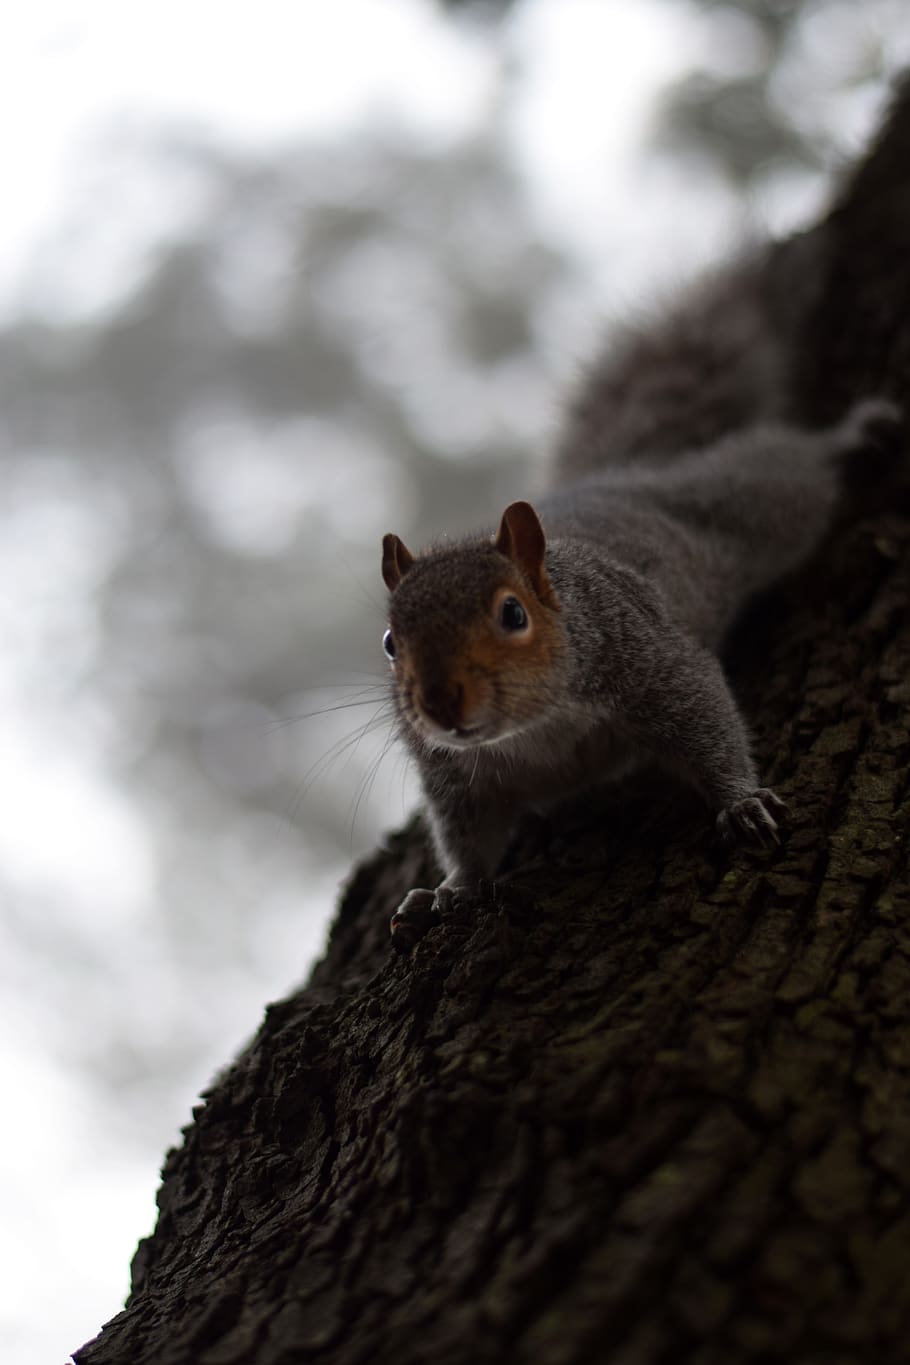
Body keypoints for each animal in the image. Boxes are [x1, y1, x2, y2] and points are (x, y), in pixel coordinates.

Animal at [376, 251, 905, 944]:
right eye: (390, 643)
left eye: (512, 613)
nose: (439, 703)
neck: (532, 729)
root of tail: (619, 477)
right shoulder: (452, 774)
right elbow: (466, 838)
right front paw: (451, 890)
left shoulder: (645, 656)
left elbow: (705, 716)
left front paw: (741, 802)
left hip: (747, 502)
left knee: (788, 466)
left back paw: (852, 434)